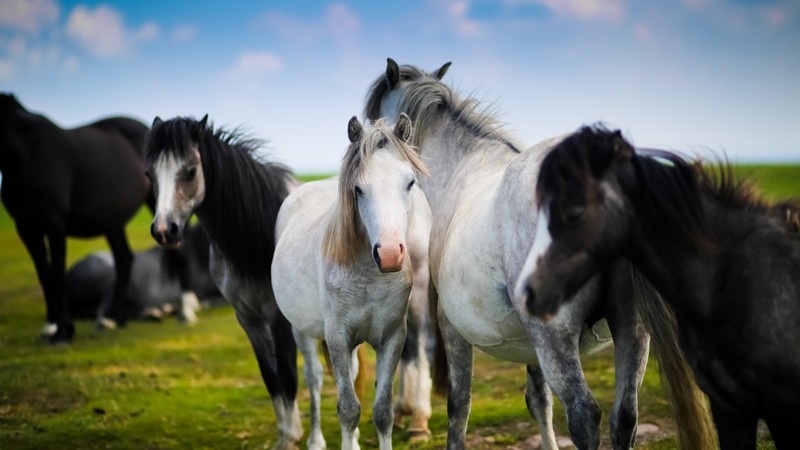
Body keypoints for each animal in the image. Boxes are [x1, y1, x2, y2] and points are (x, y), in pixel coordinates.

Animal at [0, 93, 151, 344]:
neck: (28, 154)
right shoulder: (26, 228)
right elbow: (45, 276)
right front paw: (51, 326)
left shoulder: (55, 224)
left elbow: (58, 277)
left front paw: (63, 332)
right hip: (112, 222)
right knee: (124, 259)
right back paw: (113, 319)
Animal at [144, 115, 302, 449]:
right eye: (149, 174)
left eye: (191, 171)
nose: (164, 231)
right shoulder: (248, 319)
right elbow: (271, 378)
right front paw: (285, 434)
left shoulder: (279, 319)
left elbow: (288, 376)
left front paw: (292, 437)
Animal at [271, 114, 431, 450]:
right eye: (358, 189)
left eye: (410, 182)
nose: (389, 255)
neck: (369, 276)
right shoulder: (337, 338)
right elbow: (348, 408)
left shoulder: (392, 337)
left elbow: (383, 411)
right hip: (301, 330)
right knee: (315, 378)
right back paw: (316, 440)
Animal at [365, 59, 717, 449]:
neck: (463, 168)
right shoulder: (529, 343)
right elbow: (539, 401)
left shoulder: (451, 325)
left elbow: (458, 405)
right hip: (631, 328)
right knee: (624, 416)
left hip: (555, 336)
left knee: (584, 414)